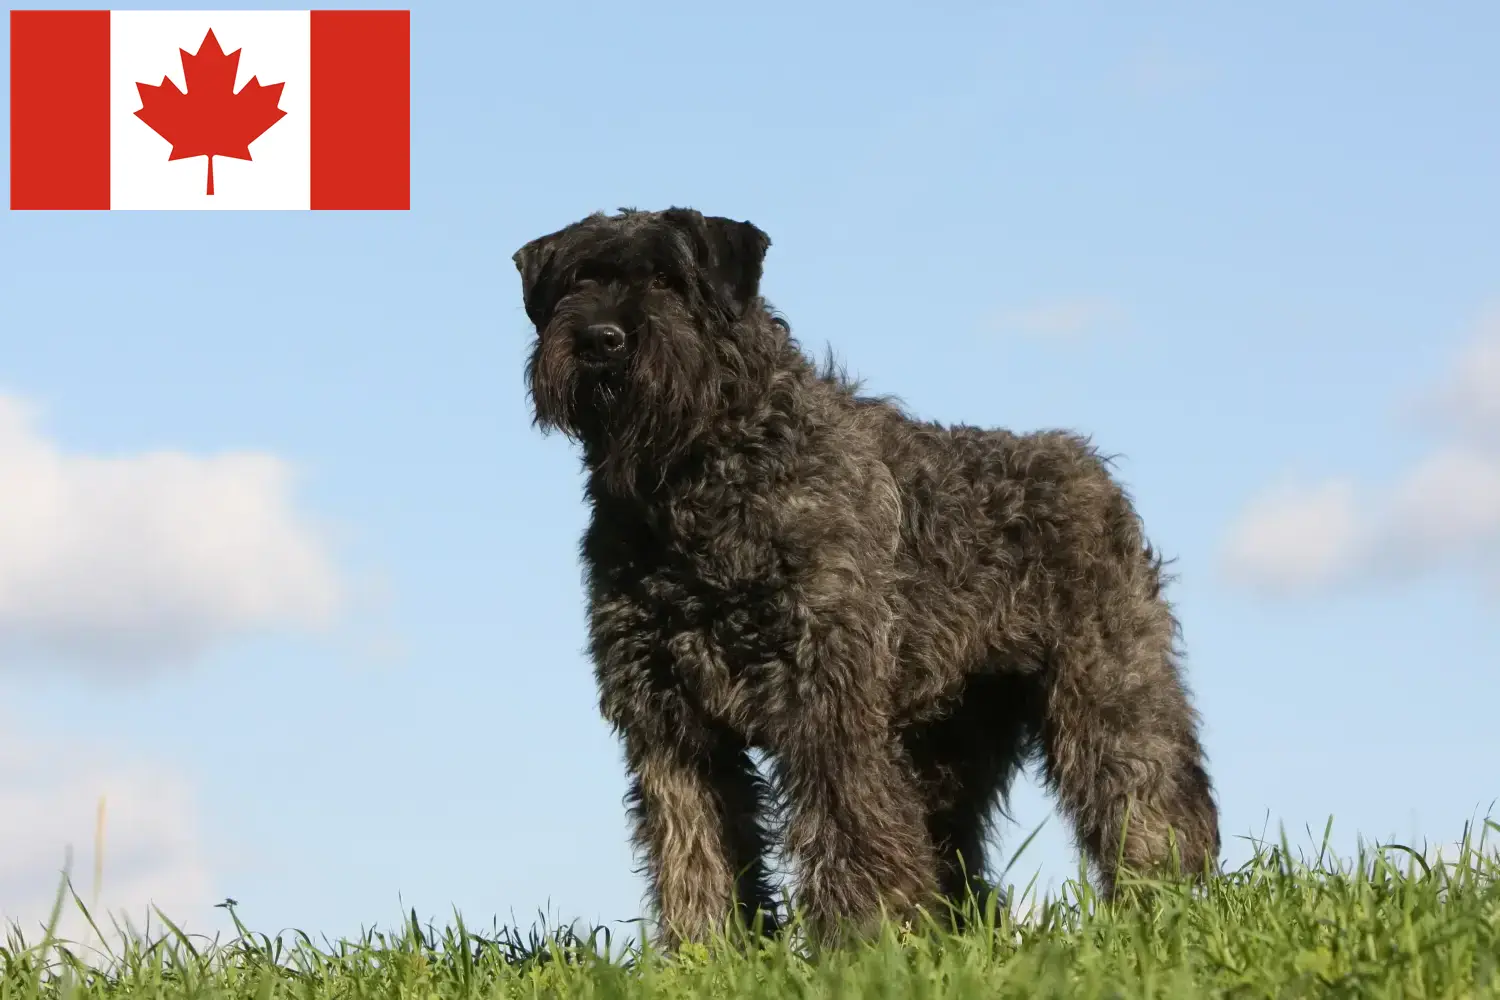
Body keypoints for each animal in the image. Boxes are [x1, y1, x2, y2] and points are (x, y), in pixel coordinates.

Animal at [513, 205, 1218, 947]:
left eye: (668, 279)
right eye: (578, 281)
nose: (602, 339)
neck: (699, 484)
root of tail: (1093, 470)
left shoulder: (829, 700)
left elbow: (847, 826)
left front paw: (862, 942)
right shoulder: (669, 719)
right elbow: (694, 844)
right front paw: (711, 948)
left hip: (1107, 696)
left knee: (1147, 798)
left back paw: (1162, 907)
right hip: (947, 743)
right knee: (952, 849)